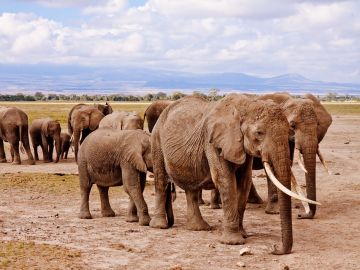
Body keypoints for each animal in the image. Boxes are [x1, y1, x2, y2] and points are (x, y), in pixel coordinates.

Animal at [149, 94, 318, 255]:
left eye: (289, 130)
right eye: (259, 133)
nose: (275, 248)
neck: (246, 105)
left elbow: (244, 182)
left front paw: (243, 234)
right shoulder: (213, 143)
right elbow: (225, 181)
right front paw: (233, 242)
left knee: (191, 189)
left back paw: (198, 228)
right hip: (156, 140)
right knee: (161, 180)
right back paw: (160, 226)